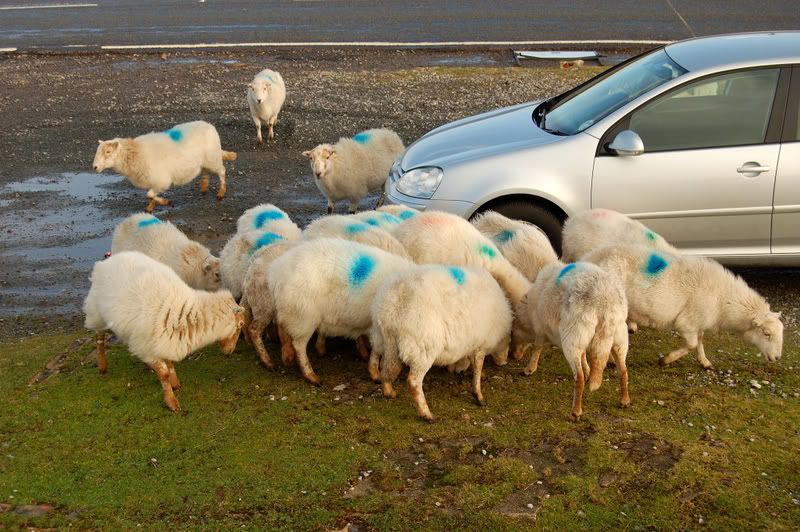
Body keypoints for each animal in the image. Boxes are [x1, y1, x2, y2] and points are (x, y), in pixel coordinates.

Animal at [93, 120, 236, 212]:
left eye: (108, 152)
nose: (94, 167)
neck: (136, 153)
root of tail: (209, 125)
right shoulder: (153, 180)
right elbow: (150, 195)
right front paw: (150, 208)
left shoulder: (161, 180)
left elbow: (149, 194)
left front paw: (165, 202)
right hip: (206, 161)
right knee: (206, 172)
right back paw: (204, 187)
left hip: (213, 158)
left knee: (222, 171)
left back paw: (221, 193)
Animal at [270, 239, 418, 384]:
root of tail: (277, 271)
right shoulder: (379, 327)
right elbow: (377, 350)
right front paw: (375, 374)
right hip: (303, 317)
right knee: (299, 346)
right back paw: (312, 376)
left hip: (289, 312)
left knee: (282, 327)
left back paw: (287, 356)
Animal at [370, 264, 512, 422]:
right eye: (509, 342)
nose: (504, 362)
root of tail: (395, 303)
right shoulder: (480, 345)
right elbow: (477, 368)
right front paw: (479, 395)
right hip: (422, 348)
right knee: (413, 382)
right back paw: (426, 414)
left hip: (383, 339)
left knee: (382, 364)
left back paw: (388, 391)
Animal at [512, 260, 632, 420]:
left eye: (513, 333)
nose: (513, 356)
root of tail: (603, 301)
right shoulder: (583, 339)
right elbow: (583, 356)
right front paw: (587, 369)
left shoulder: (541, 328)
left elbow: (537, 347)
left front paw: (529, 369)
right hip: (618, 336)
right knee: (623, 370)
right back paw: (624, 401)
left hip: (573, 336)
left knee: (578, 378)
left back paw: (576, 412)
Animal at [580, 246, 780, 368]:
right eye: (766, 333)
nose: (777, 358)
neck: (723, 300)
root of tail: (587, 259)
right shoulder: (687, 323)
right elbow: (692, 344)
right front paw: (666, 360)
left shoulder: (699, 321)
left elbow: (700, 340)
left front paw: (705, 362)